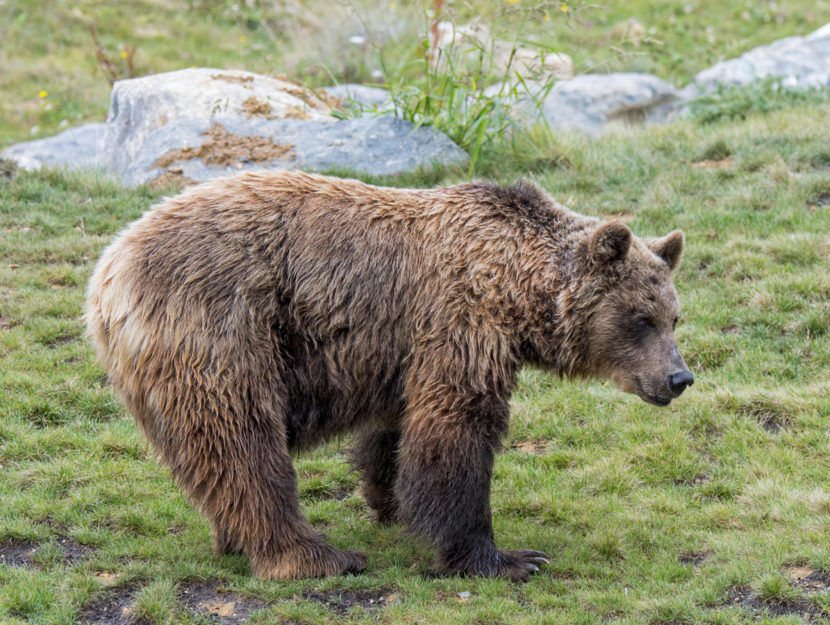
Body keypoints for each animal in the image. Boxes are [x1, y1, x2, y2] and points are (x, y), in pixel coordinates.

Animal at [84, 171, 696, 580]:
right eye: (640, 319)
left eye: (673, 316)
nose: (679, 377)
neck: (517, 292)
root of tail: (109, 271)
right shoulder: (458, 324)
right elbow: (456, 435)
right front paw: (506, 557)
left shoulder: (401, 350)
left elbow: (395, 432)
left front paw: (392, 502)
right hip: (224, 330)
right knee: (244, 445)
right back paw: (315, 556)